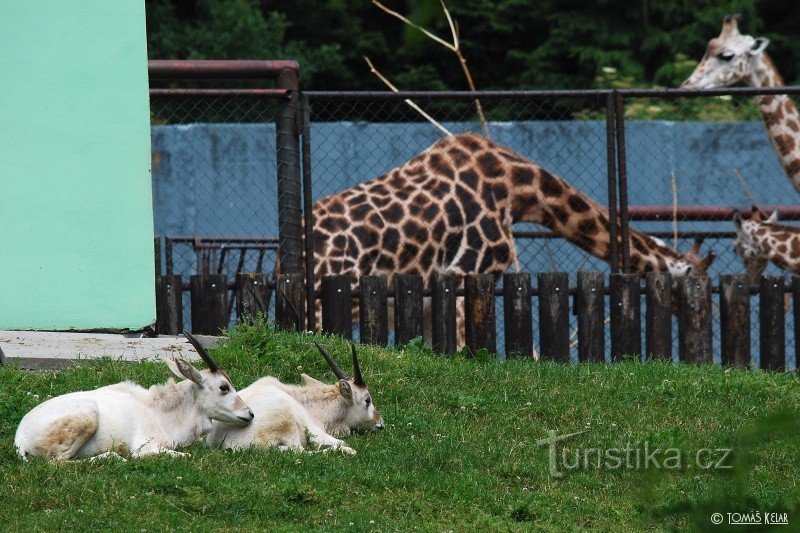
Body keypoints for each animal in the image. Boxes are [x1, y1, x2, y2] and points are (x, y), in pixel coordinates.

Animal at [15, 330, 253, 460]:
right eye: (224, 387)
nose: (250, 414)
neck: (158, 411)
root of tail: (21, 439)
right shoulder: (145, 448)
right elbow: (183, 455)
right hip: (88, 416)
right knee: (57, 462)